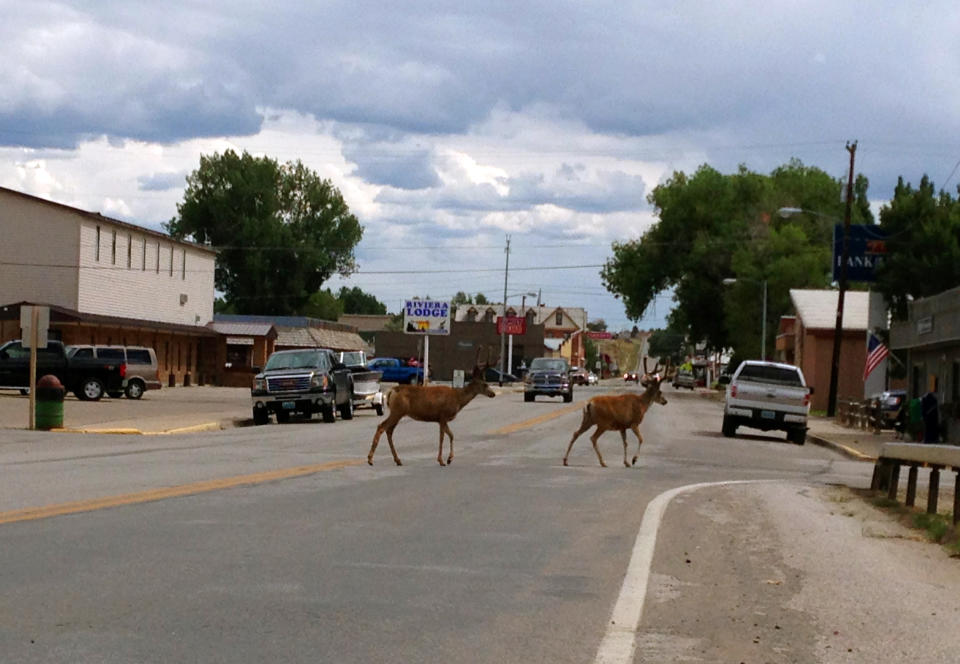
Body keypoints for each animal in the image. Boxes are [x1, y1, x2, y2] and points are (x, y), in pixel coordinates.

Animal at [368, 348, 496, 466]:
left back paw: (398, 460)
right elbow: (443, 437)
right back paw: (370, 459)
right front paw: (442, 460)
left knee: (389, 430)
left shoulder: (441, 419)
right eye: (485, 384)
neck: (457, 398)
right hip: (397, 411)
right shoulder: (443, 415)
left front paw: (448, 459)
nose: (493, 393)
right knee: (382, 426)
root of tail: (391, 391)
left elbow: (450, 435)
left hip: (398, 413)